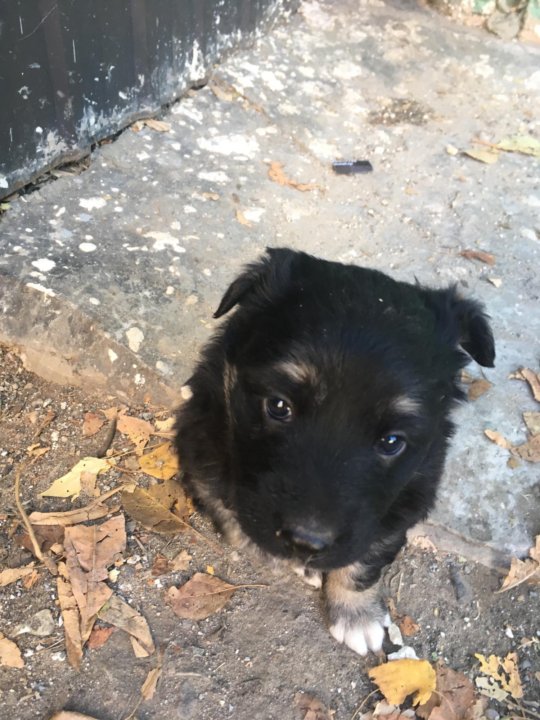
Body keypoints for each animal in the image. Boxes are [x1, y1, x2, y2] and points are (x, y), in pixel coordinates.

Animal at [175, 248, 495, 655]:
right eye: (278, 406)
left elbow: (367, 556)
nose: (306, 542)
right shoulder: (202, 441)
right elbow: (227, 509)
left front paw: (356, 614)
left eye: (392, 441)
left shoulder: (404, 499)